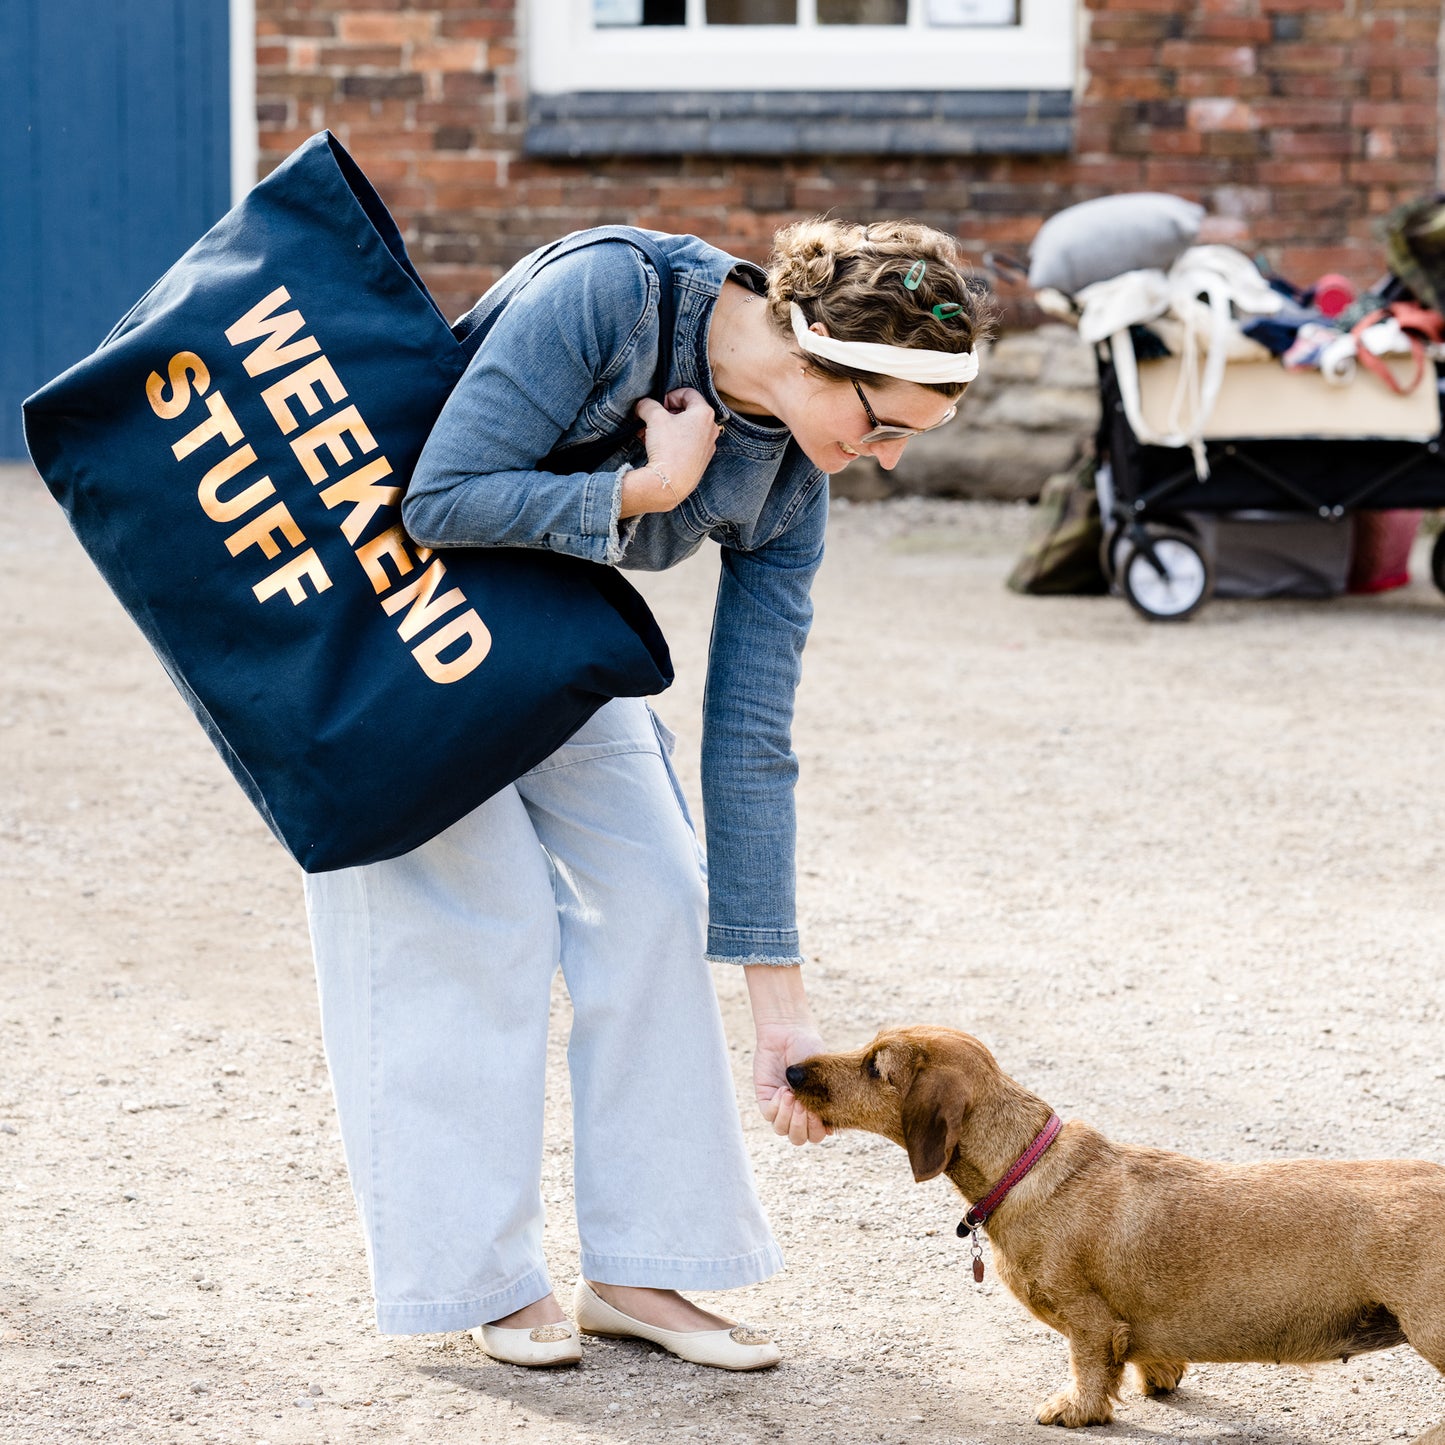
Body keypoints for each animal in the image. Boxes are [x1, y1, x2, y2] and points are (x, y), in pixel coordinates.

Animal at [786, 1034, 1445, 1427]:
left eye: (877, 1067)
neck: (1026, 1164)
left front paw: (1072, 1410)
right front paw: (1161, 1376)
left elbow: (1089, 1368)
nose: (791, 1070)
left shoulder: (1088, 1320)